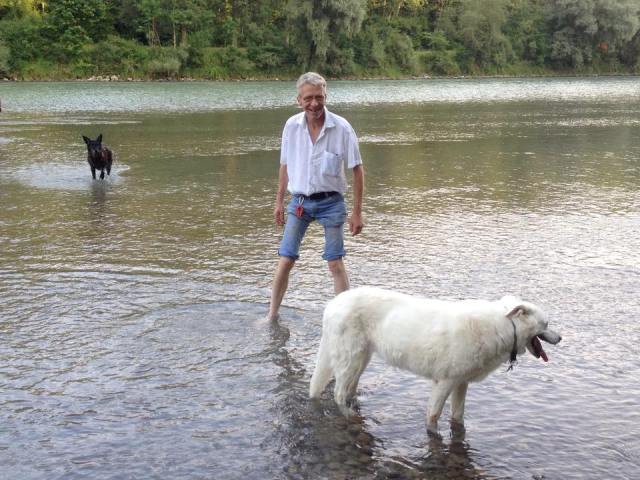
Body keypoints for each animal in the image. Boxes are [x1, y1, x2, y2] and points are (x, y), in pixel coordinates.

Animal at [308, 286, 560, 430]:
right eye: (546, 324)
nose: (560, 338)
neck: (505, 326)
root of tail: (333, 303)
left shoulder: (461, 383)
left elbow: (458, 417)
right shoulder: (444, 382)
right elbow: (433, 417)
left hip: (361, 358)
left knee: (346, 389)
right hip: (350, 358)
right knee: (338, 393)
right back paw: (351, 417)